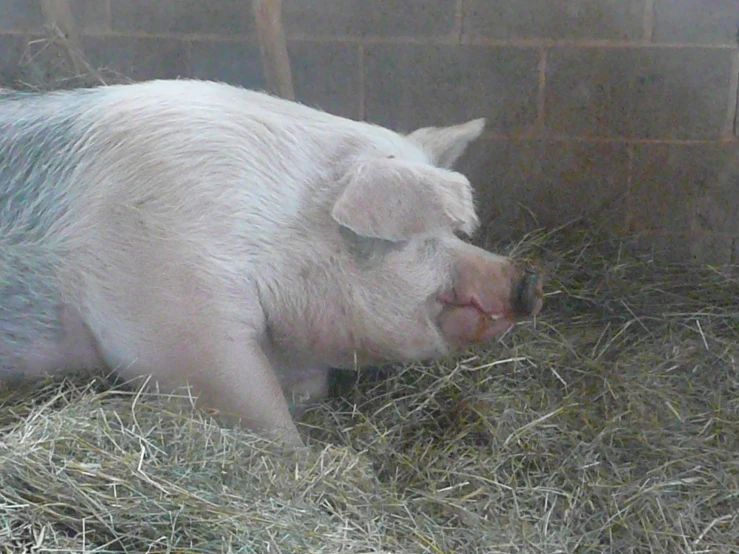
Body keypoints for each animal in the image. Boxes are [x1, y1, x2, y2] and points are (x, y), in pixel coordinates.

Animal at [0, 78, 544, 444]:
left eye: (454, 233)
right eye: (417, 238)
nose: (527, 278)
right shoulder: (169, 311)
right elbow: (257, 406)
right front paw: (302, 458)